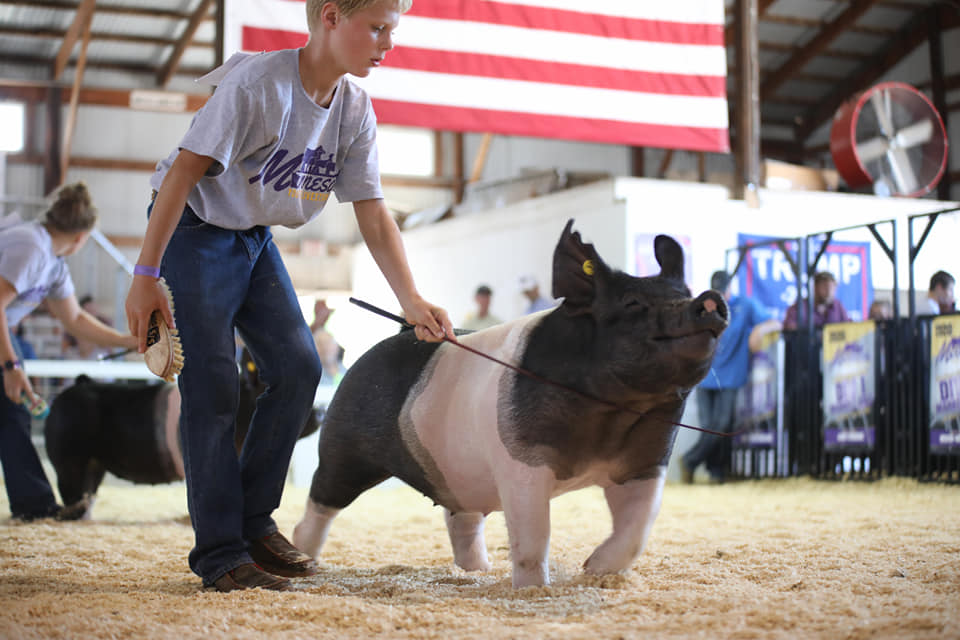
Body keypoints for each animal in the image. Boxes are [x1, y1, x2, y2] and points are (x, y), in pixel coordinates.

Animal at [45, 348, 322, 520]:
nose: (320, 409)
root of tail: (76, 385)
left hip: (95, 465)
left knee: (89, 492)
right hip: (68, 461)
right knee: (72, 493)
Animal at [293, 220, 728, 587]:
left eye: (685, 294)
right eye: (633, 304)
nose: (709, 300)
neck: (613, 417)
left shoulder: (646, 464)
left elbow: (638, 527)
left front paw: (594, 569)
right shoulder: (522, 462)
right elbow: (533, 533)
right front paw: (535, 589)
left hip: (456, 473)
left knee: (461, 519)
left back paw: (478, 570)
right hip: (343, 451)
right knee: (321, 501)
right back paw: (304, 557)